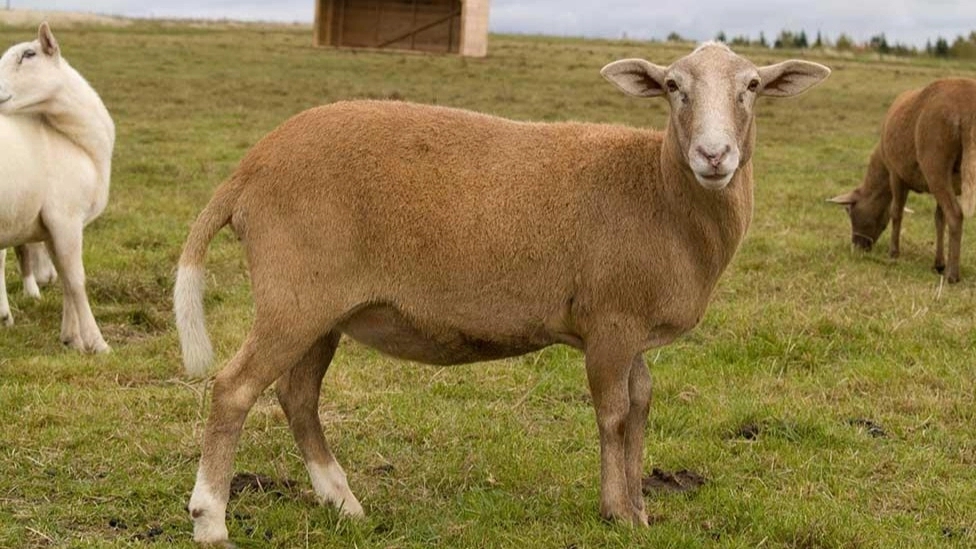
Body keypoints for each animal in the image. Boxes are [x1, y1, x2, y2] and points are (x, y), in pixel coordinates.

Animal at [0, 23, 114, 351]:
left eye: (28, 54)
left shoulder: (53, 225)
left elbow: (64, 277)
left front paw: (71, 338)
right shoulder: (66, 217)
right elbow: (76, 279)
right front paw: (97, 342)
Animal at [175, 42, 829, 543]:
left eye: (751, 86)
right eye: (673, 86)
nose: (714, 155)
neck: (660, 191)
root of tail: (250, 168)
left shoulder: (633, 328)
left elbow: (641, 404)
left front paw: (641, 510)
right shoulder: (611, 323)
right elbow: (613, 413)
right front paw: (617, 512)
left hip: (323, 308)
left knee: (298, 397)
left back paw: (344, 503)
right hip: (294, 294)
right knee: (234, 389)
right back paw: (211, 520)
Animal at [830, 78, 976, 282]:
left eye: (850, 211)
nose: (857, 247)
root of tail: (967, 111)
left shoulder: (896, 174)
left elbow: (896, 212)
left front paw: (893, 254)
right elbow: (939, 219)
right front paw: (938, 263)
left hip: (935, 163)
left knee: (955, 214)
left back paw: (952, 275)